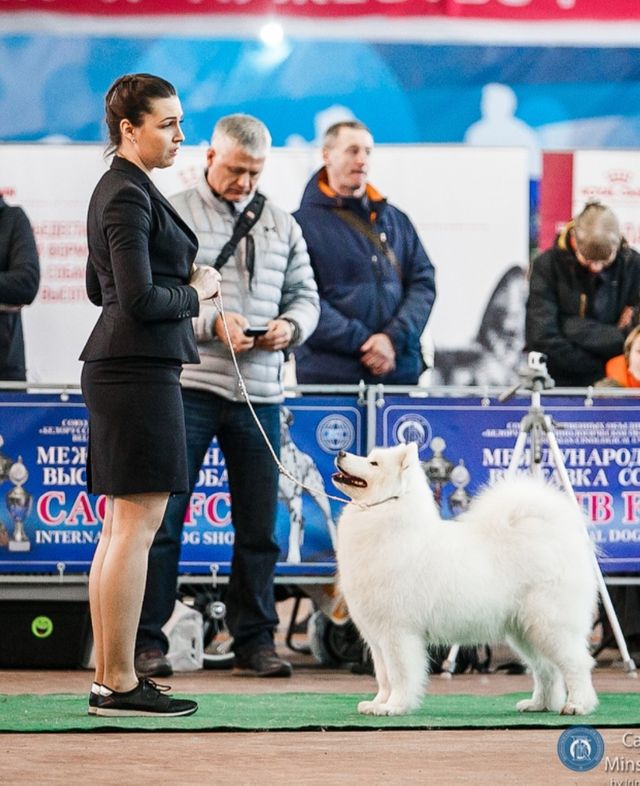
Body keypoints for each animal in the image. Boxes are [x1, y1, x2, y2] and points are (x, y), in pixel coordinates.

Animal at [332, 440, 596, 716]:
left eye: (374, 463)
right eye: (370, 457)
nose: (340, 452)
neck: (386, 516)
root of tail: (557, 535)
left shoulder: (398, 633)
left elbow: (399, 675)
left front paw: (394, 706)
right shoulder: (377, 638)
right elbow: (383, 677)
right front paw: (377, 703)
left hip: (550, 627)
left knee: (577, 664)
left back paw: (577, 705)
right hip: (526, 632)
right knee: (546, 669)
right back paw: (540, 704)